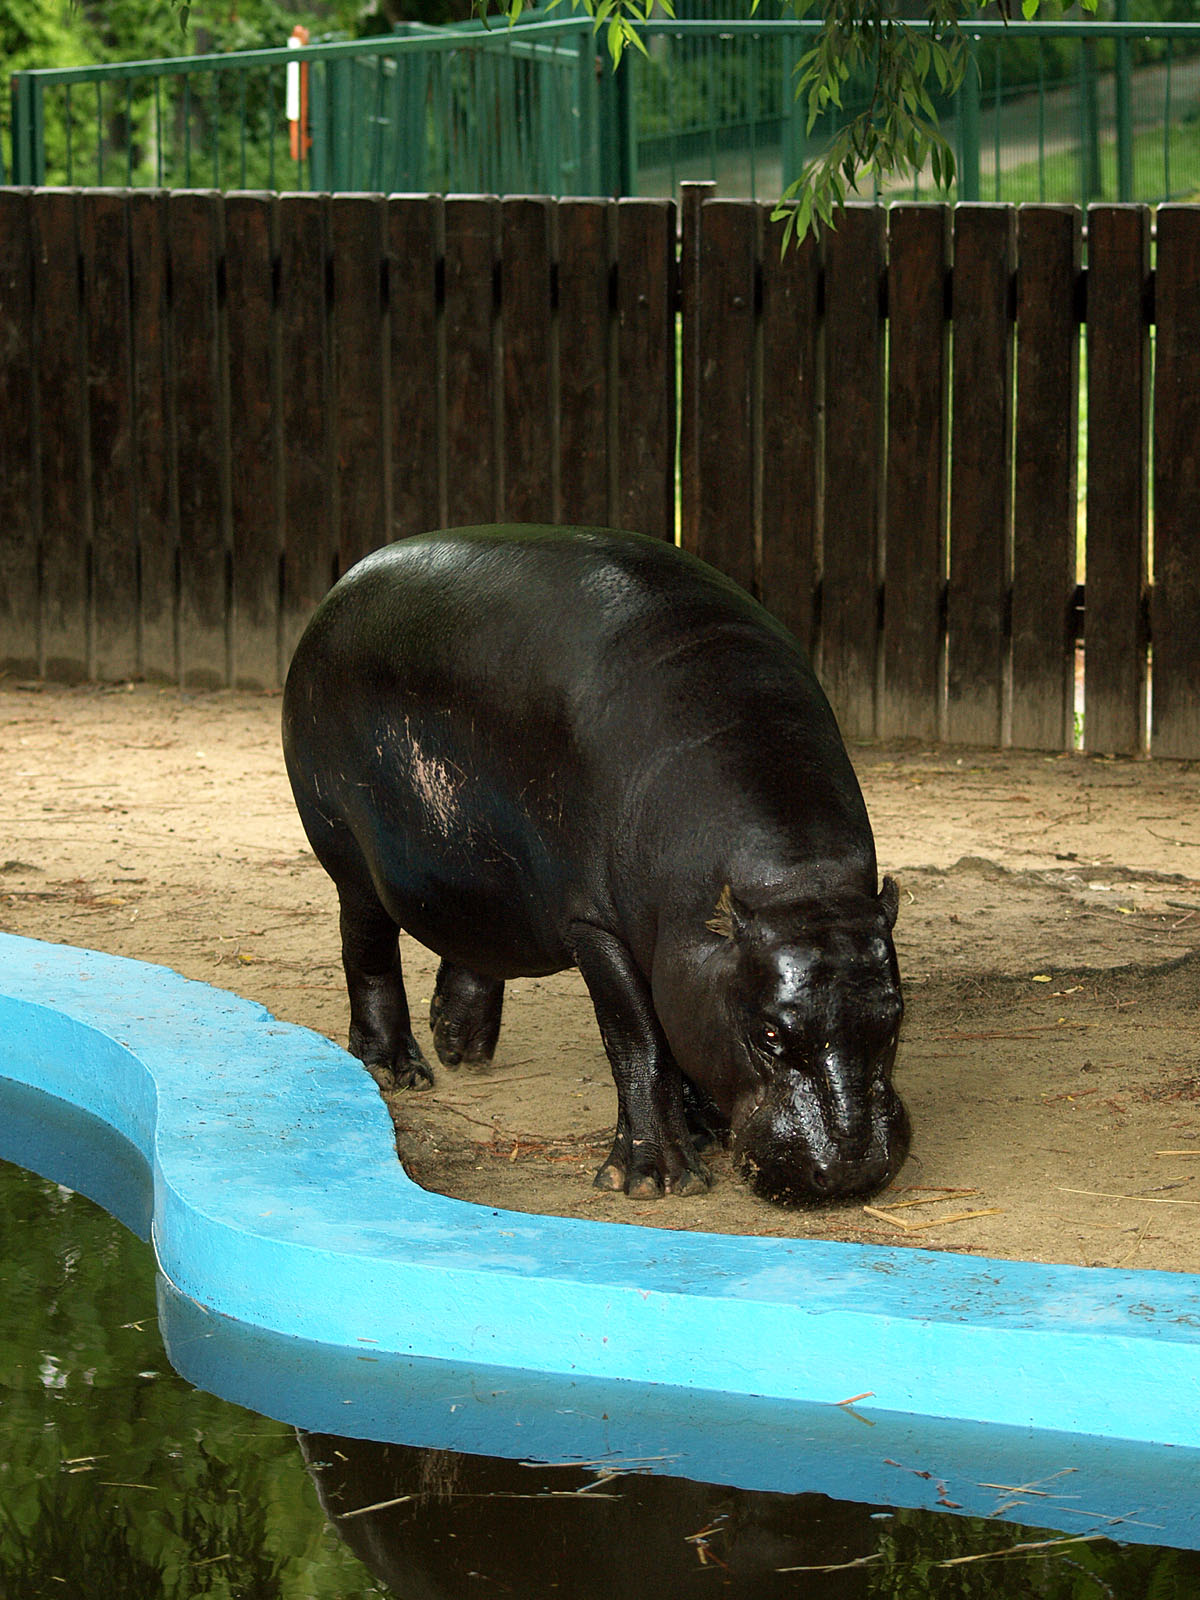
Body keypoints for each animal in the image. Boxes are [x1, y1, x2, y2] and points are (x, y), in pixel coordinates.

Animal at [282, 525, 908, 1205]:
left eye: (895, 1018)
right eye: (767, 1033)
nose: (850, 1171)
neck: (796, 886)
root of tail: (342, 583)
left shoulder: (687, 951)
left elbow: (678, 1020)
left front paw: (704, 1129)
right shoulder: (596, 926)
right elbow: (639, 1036)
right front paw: (654, 1179)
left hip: (482, 870)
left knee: (477, 936)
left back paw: (461, 1046)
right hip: (347, 852)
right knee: (368, 949)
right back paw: (398, 1070)